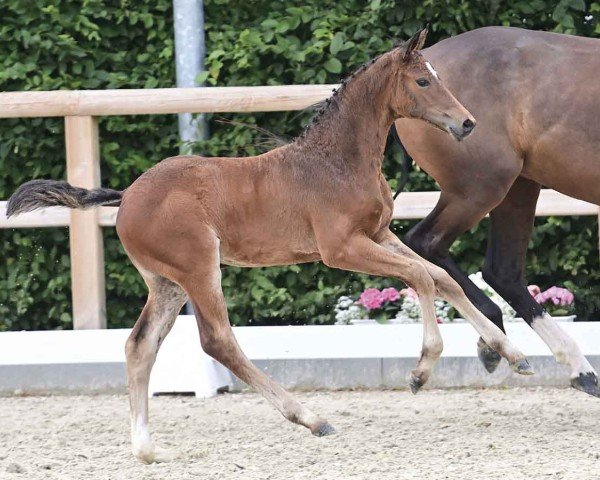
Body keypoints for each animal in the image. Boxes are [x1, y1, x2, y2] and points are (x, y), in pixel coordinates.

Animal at [5, 28, 528, 464]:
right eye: (422, 80)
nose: (467, 123)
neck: (337, 161)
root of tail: (128, 195)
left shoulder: (380, 234)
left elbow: (438, 277)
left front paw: (511, 353)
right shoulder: (341, 248)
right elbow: (421, 276)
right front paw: (421, 372)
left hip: (166, 283)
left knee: (140, 346)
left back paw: (148, 449)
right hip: (198, 269)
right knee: (217, 341)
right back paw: (311, 419)